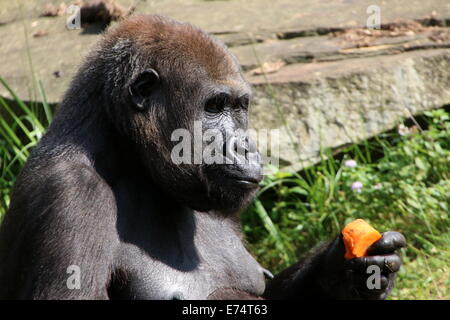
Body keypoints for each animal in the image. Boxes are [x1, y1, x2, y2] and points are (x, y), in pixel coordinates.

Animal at [0, 14, 406, 300]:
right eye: (213, 107)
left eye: (239, 107)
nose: (246, 146)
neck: (129, 158)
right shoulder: (70, 192)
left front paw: (342, 271)